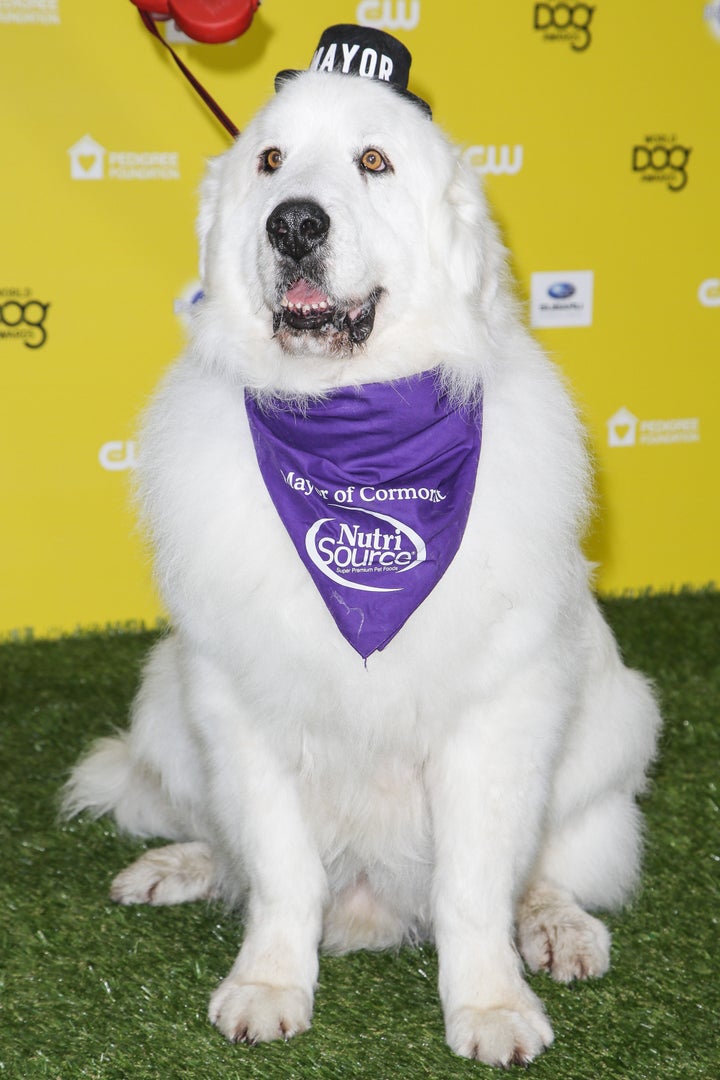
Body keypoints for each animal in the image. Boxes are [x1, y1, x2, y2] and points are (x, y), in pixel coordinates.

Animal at [64, 27, 660, 1071]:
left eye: (373, 162)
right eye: (269, 161)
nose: (294, 225)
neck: (352, 436)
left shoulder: (492, 717)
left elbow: (475, 885)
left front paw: (490, 1003)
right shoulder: (243, 705)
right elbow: (279, 874)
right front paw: (269, 984)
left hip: (610, 731)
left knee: (552, 868)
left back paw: (556, 930)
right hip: (167, 698)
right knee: (222, 842)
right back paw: (180, 864)